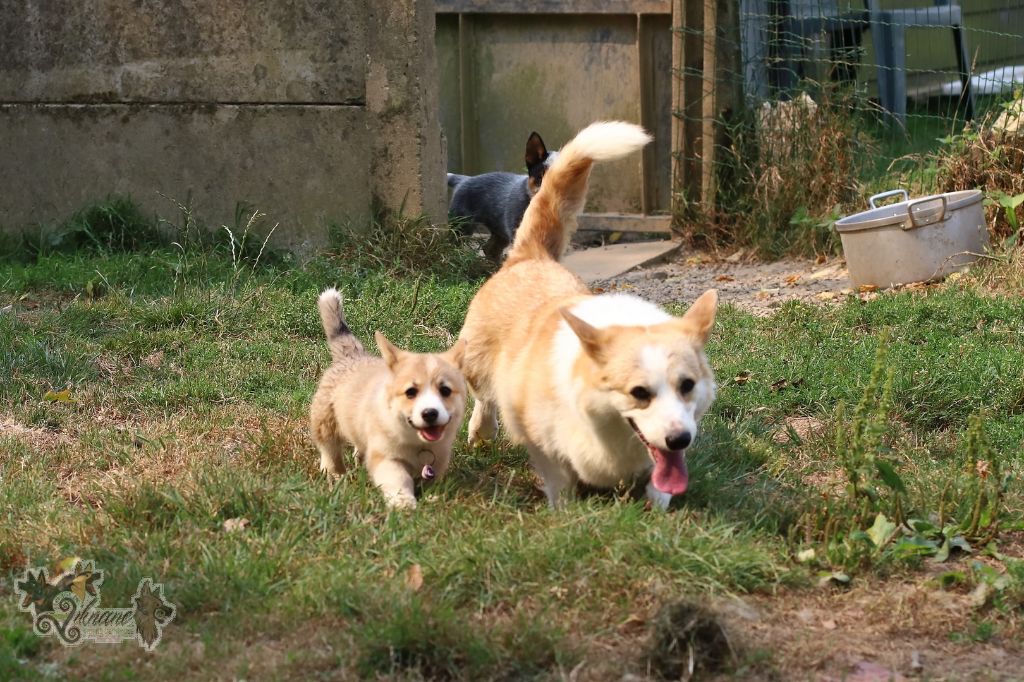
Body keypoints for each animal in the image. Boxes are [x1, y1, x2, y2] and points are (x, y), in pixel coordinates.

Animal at [309, 288, 467, 509]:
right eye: (410, 392)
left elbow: (431, 481)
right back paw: (334, 473)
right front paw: (404, 503)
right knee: (328, 447)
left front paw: (433, 498)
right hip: (325, 419)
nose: (430, 413)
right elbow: (398, 479)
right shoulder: (387, 459)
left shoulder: (438, 460)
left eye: (445, 390)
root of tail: (352, 355)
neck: (416, 443)